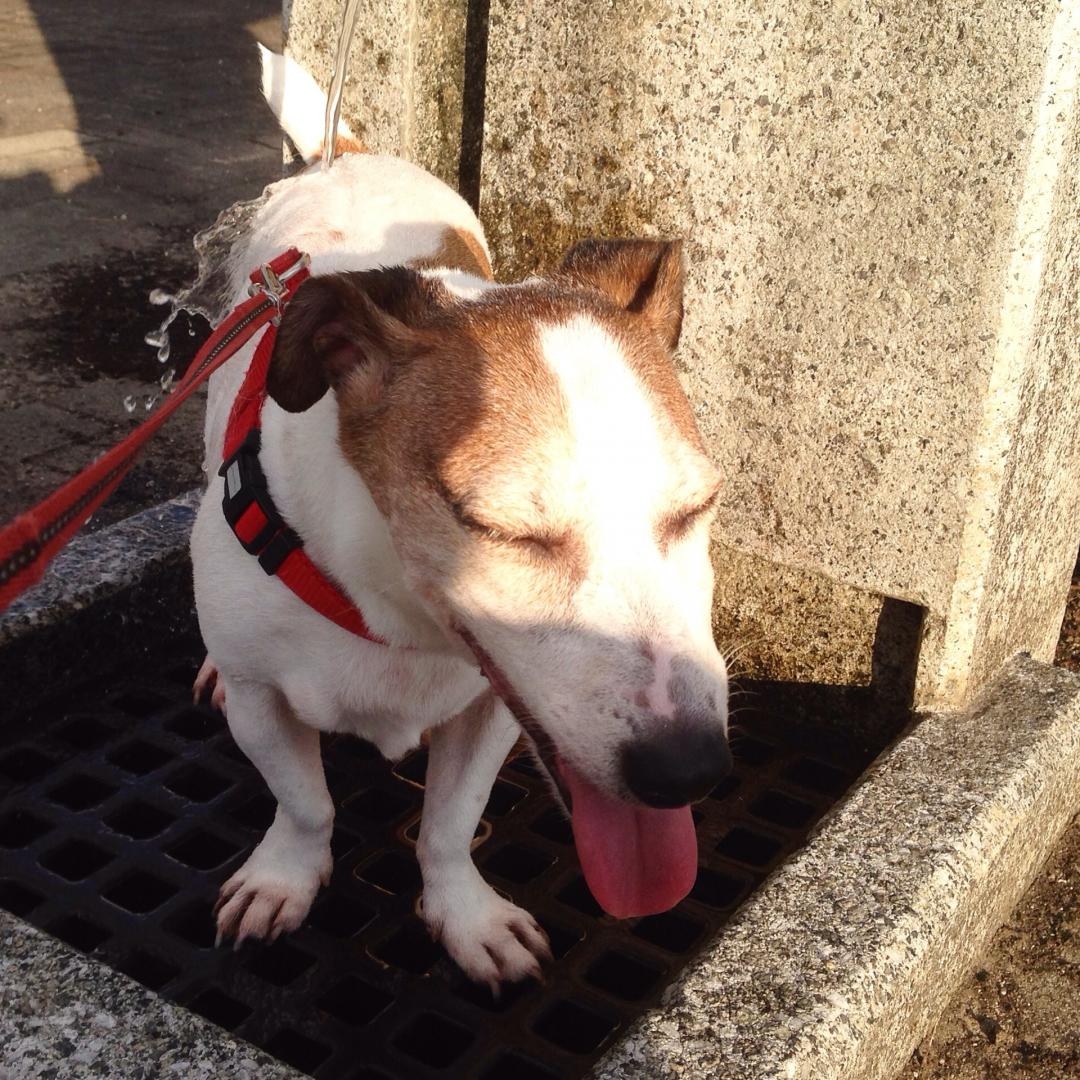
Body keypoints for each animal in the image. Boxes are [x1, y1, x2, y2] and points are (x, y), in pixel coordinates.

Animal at [192, 52, 734, 993]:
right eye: (506, 531)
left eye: (695, 509)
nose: (689, 769)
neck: (397, 611)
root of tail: (346, 156)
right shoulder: (265, 700)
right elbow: (305, 805)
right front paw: (284, 877)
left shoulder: (492, 710)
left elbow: (449, 824)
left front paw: (465, 915)